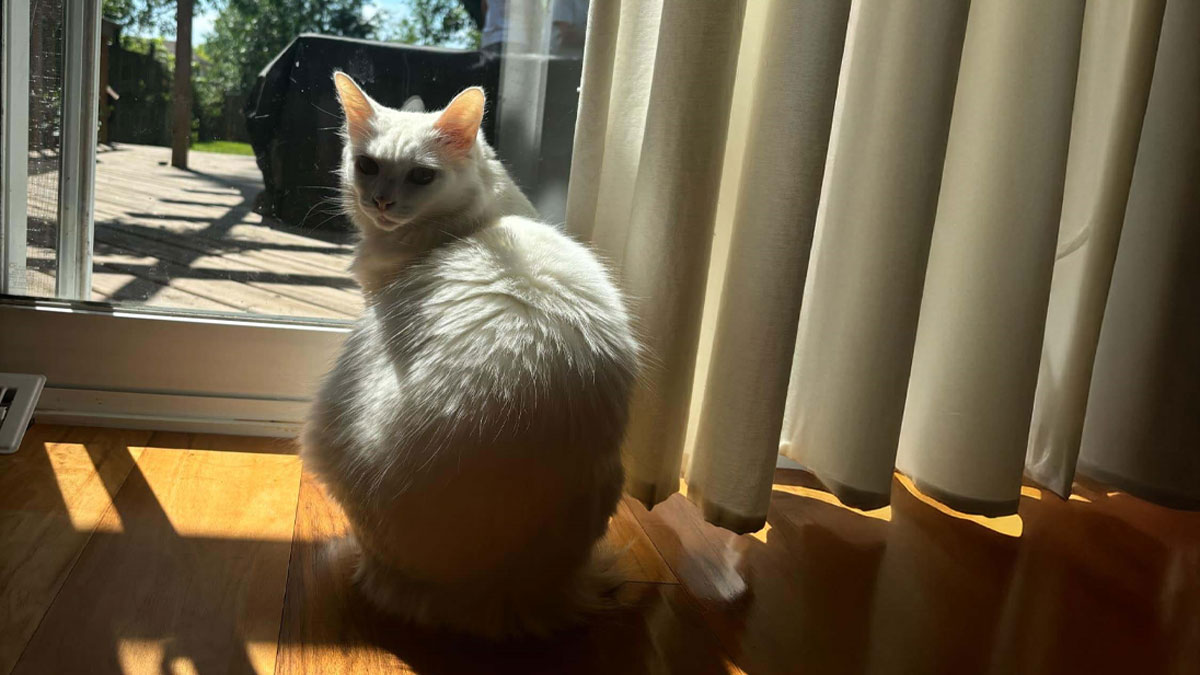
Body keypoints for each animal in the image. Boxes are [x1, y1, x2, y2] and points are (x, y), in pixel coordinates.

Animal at [302, 72, 639, 638]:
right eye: (367, 165)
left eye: (421, 176)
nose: (381, 202)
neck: (472, 223)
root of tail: (494, 592)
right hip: (610, 477)